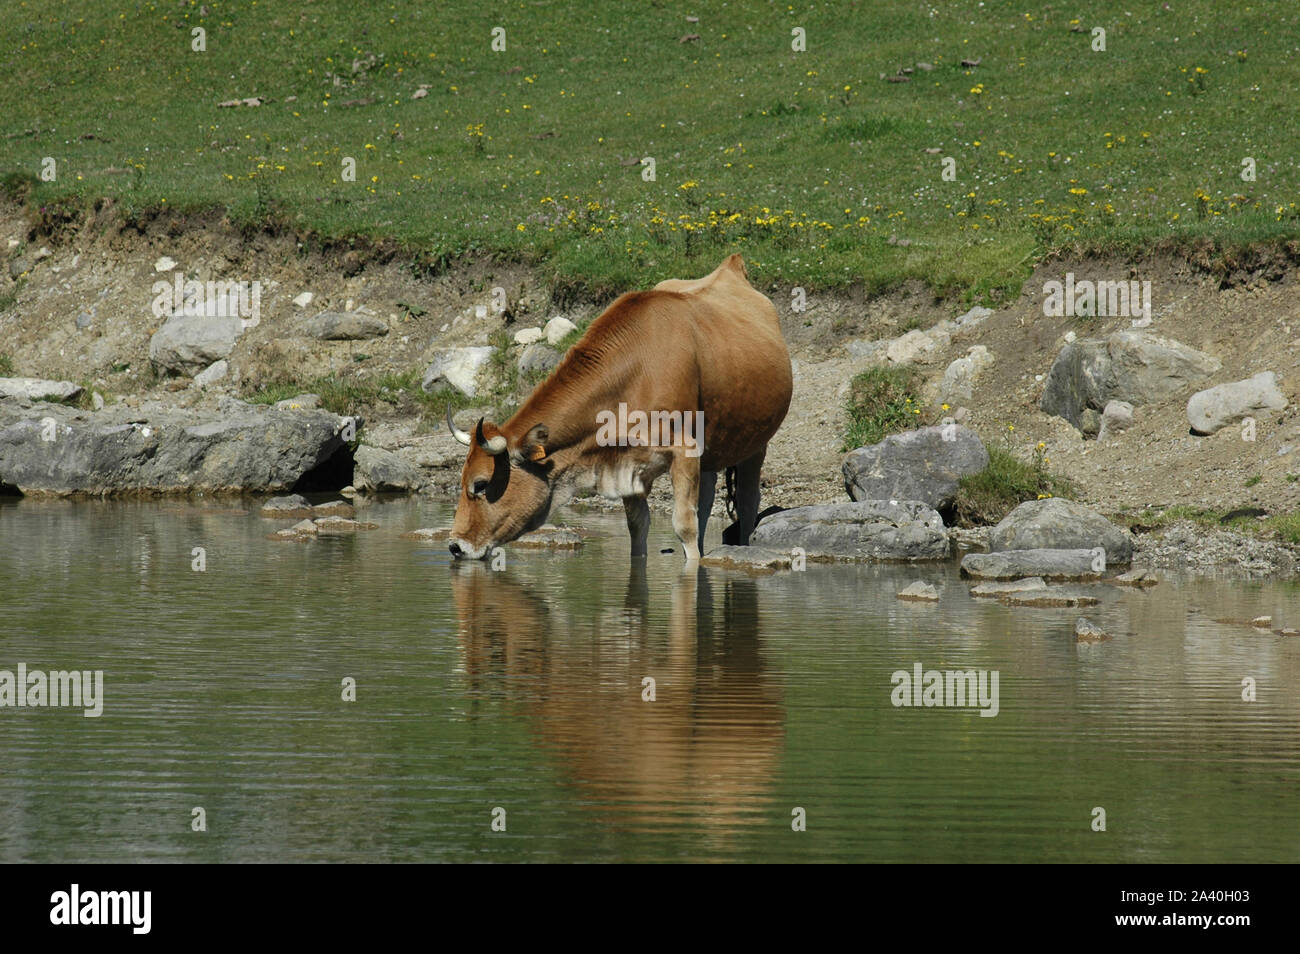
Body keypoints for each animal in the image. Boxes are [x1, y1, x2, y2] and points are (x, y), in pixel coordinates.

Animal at [446, 253, 792, 563]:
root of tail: (731, 266)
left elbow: (685, 526)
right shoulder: (627, 462)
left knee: (747, 502)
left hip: (756, 443)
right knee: (707, 499)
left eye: (481, 484)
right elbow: (638, 527)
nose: (455, 546)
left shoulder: (684, 451)